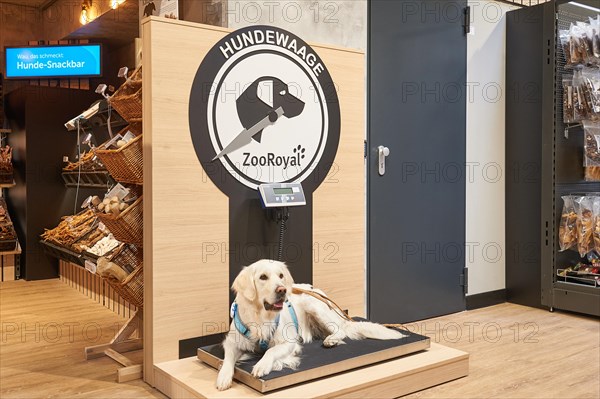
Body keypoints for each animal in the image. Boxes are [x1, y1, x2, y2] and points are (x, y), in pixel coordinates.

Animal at [213, 260, 406, 390]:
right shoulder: (232, 341)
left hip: (315, 307)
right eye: (263, 277)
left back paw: (331, 340)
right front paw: (223, 377)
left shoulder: (289, 342)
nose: (282, 289)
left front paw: (262, 365)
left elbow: (270, 351)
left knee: (341, 330)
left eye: (281, 275)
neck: (262, 317)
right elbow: (228, 358)